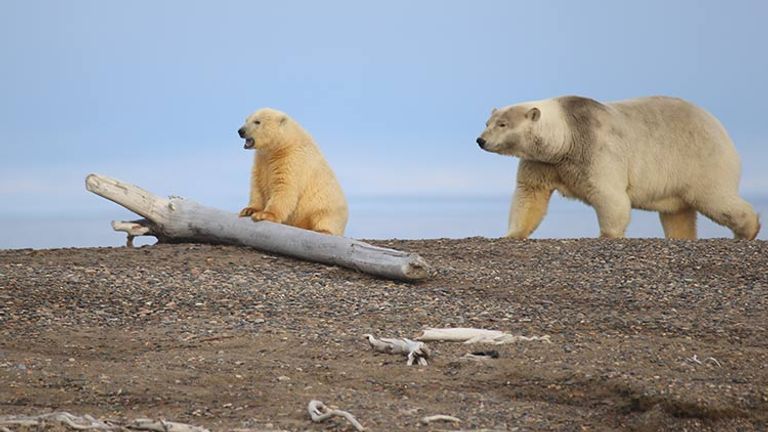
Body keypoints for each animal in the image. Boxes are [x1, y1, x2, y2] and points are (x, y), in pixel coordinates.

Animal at [476, 95, 760, 240]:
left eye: (502, 124)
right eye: (488, 122)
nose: (480, 140)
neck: (567, 136)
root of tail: (720, 127)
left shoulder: (596, 149)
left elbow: (610, 196)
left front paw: (607, 235)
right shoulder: (543, 162)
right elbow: (529, 194)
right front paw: (511, 234)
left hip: (701, 160)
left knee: (716, 198)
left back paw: (749, 230)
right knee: (677, 214)